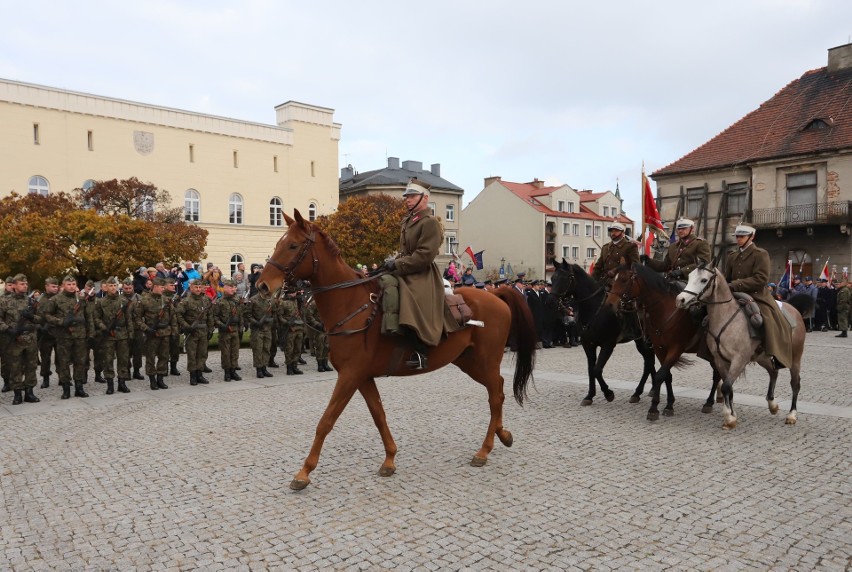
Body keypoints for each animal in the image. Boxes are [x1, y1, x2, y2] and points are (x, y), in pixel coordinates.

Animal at [256, 212, 536, 490]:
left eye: (292, 245)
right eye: (278, 244)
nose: (262, 286)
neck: (352, 305)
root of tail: (496, 295)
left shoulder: (349, 376)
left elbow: (326, 421)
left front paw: (304, 472)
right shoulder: (362, 377)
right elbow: (379, 414)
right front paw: (389, 459)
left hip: (484, 361)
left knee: (495, 395)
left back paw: (484, 450)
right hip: (470, 362)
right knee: (498, 389)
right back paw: (503, 435)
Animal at [548, 260, 656, 406]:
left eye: (565, 278)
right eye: (553, 278)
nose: (550, 301)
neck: (594, 309)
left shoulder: (608, 344)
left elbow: (597, 369)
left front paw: (608, 393)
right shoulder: (587, 344)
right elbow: (591, 369)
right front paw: (589, 396)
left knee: (649, 362)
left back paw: (641, 391)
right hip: (642, 341)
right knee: (649, 362)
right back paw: (648, 390)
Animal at [604, 264, 724, 420]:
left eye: (624, 279)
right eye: (612, 280)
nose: (609, 305)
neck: (664, 310)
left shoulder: (676, 349)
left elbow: (660, 374)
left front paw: (654, 408)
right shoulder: (659, 348)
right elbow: (666, 375)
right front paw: (669, 404)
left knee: (716, 375)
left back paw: (709, 402)